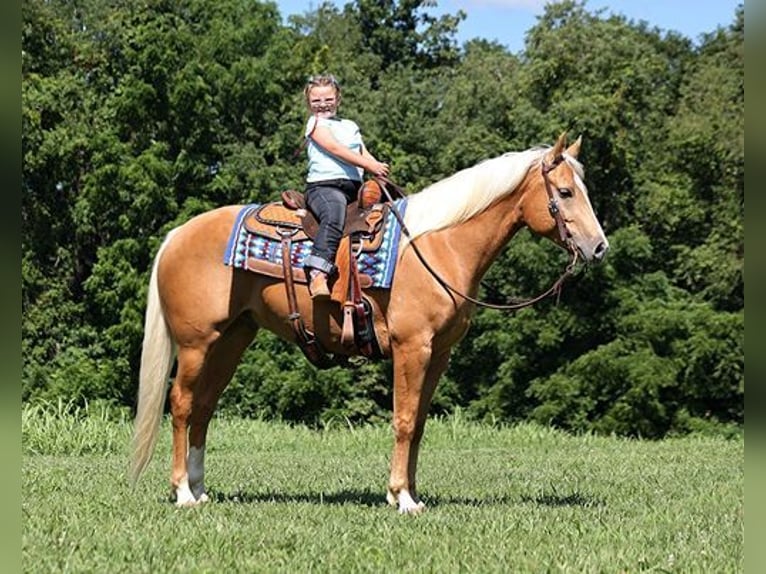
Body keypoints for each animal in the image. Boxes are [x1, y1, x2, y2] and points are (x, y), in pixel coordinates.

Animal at [132, 134, 612, 512]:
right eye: (565, 192)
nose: (599, 247)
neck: (438, 245)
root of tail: (177, 235)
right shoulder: (411, 346)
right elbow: (403, 420)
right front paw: (401, 498)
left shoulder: (438, 353)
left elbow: (418, 424)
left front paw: (411, 493)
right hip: (196, 343)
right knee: (182, 404)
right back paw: (183, 493)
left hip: (233, 338)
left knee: (204, 406)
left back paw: (200, 490)